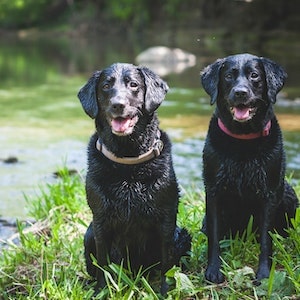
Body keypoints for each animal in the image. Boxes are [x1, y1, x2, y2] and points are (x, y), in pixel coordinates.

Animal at [77, 62, 190, 294]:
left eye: (133, 85)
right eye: (106, 86)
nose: (117, 105)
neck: (128, 163)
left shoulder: (166, 221)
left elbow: (167, 267)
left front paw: (164, 292)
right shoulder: (100, 222)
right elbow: (103, 265)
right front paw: (102, 291)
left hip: (182, 235)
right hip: (89, 235)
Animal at [200, 53, 298, 284]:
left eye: (254, 75)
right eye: (228, 76)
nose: (240, 92)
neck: (242, 140)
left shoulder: (270, 193)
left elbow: (266, 240)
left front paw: (263, 273)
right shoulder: (213, 192)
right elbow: (214, 237)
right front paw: (213, 270)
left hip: (289, 194)